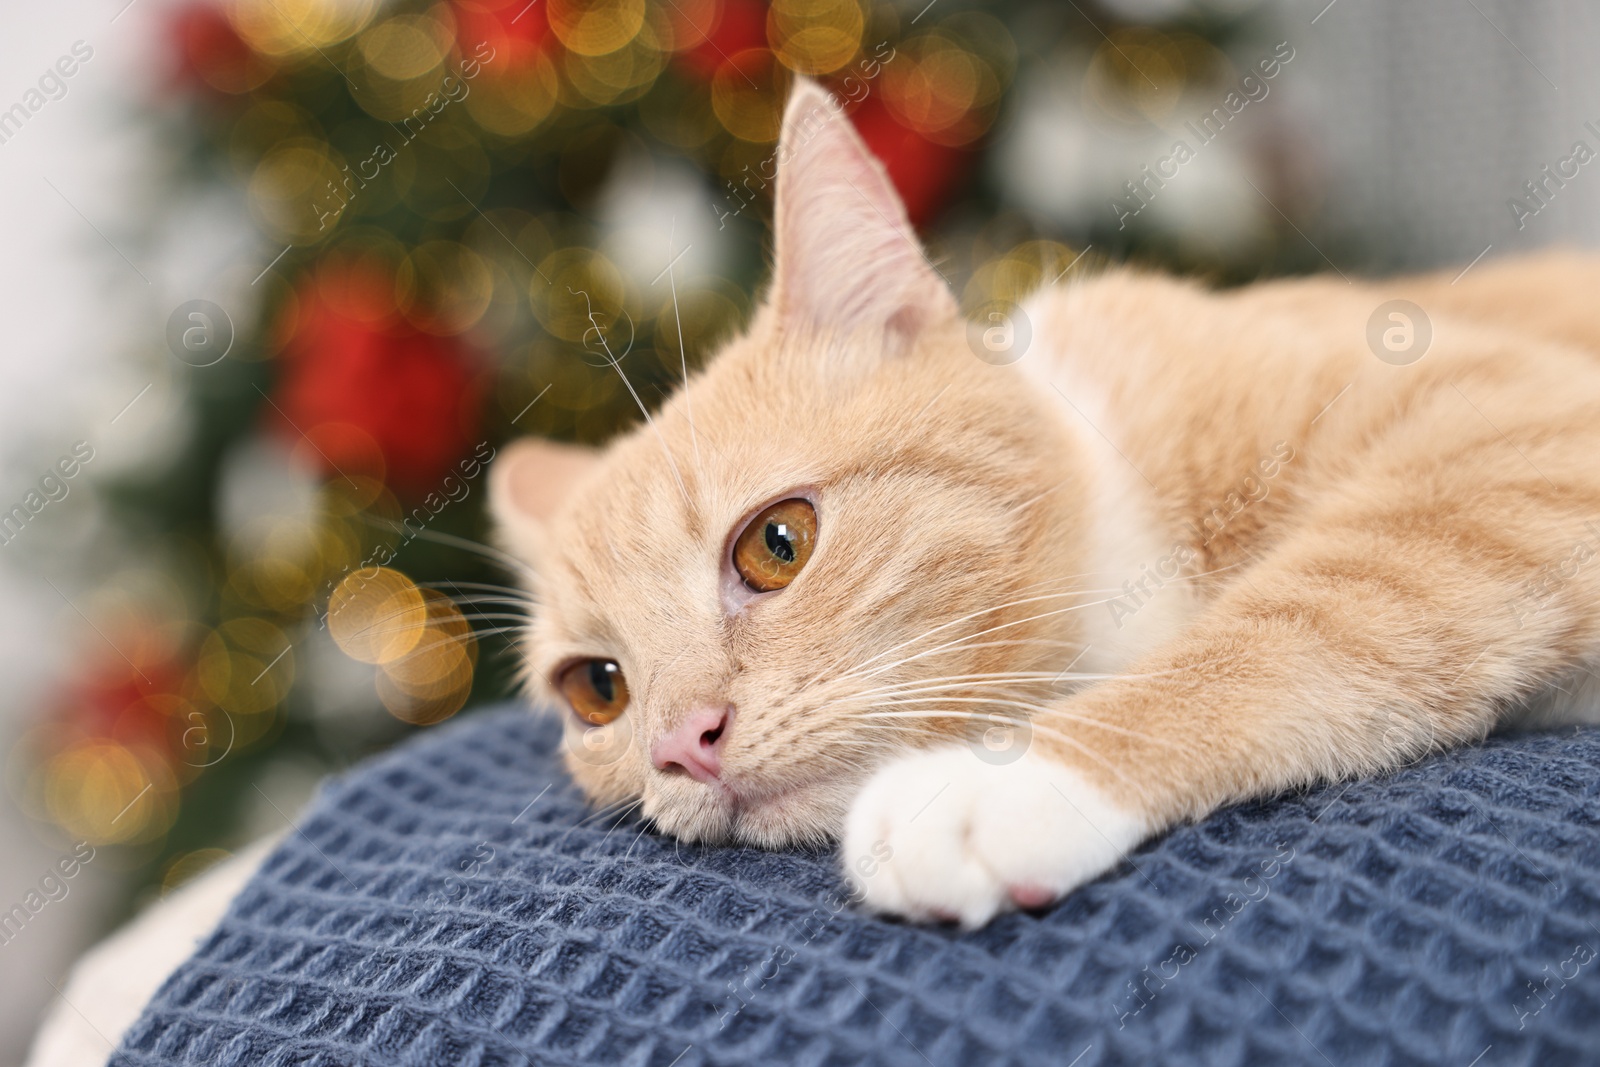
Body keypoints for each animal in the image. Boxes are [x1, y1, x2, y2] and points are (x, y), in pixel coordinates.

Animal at [492, 79, 1600, 927]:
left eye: (777, 542)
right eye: (598, 687)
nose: (681, 743)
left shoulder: (1516, 433)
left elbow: (1307, 615)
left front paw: (1009, 779)